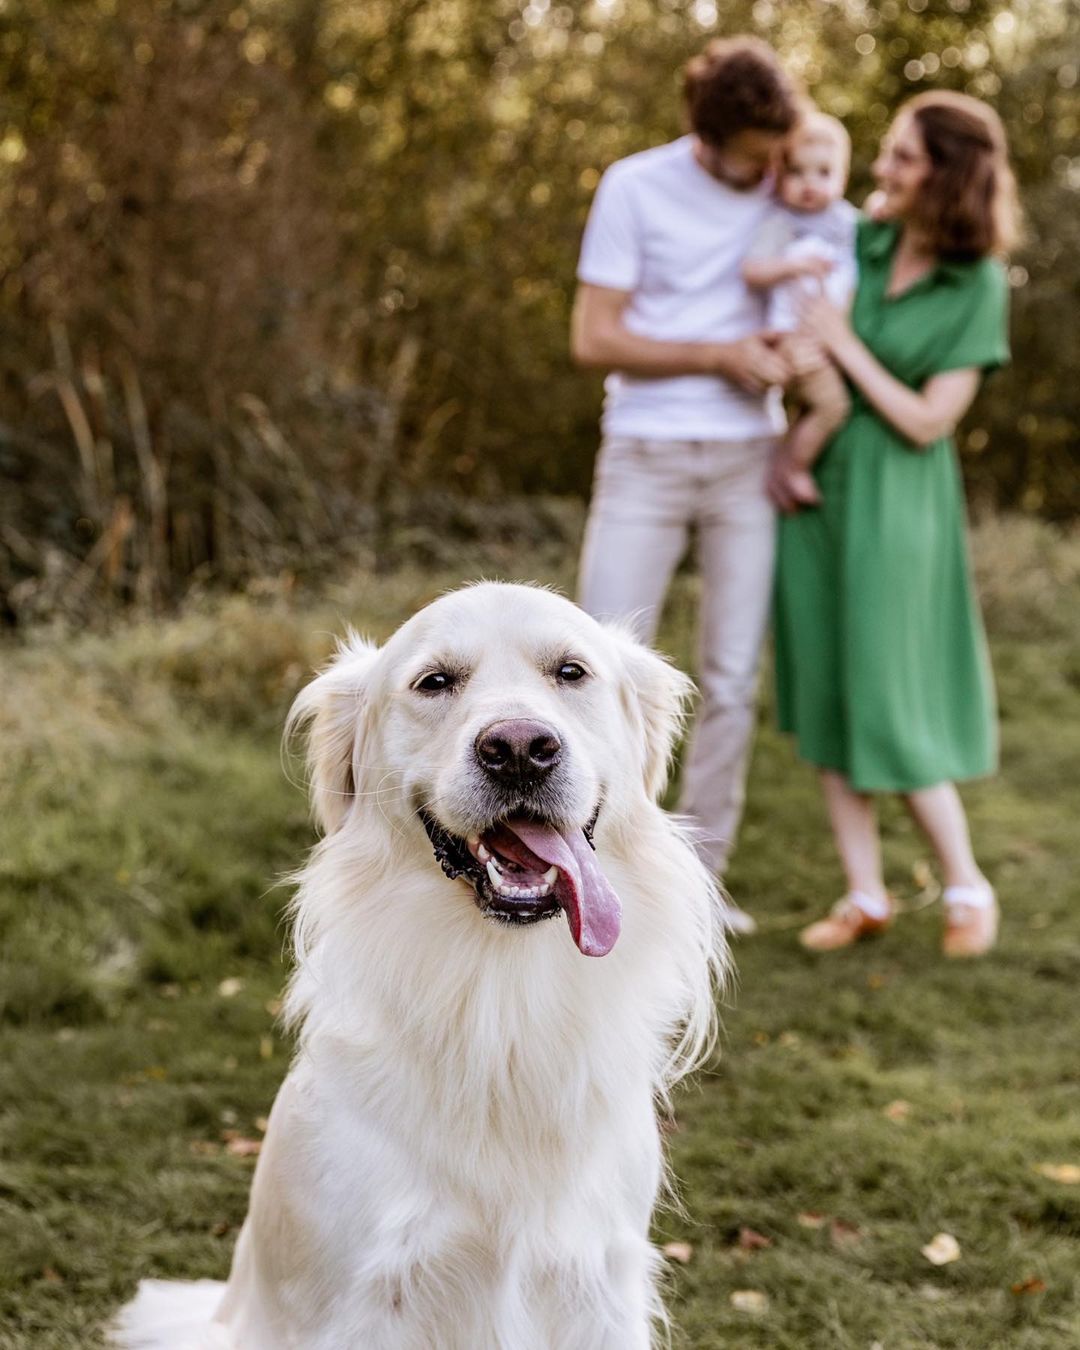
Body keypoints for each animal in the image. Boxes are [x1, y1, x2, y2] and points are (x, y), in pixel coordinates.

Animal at [112, 583, 723, 1350]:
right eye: (434, 682)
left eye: (570, 672)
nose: (519, 750)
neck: (500, 996)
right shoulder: (369, 1302)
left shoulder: (596, 1288)